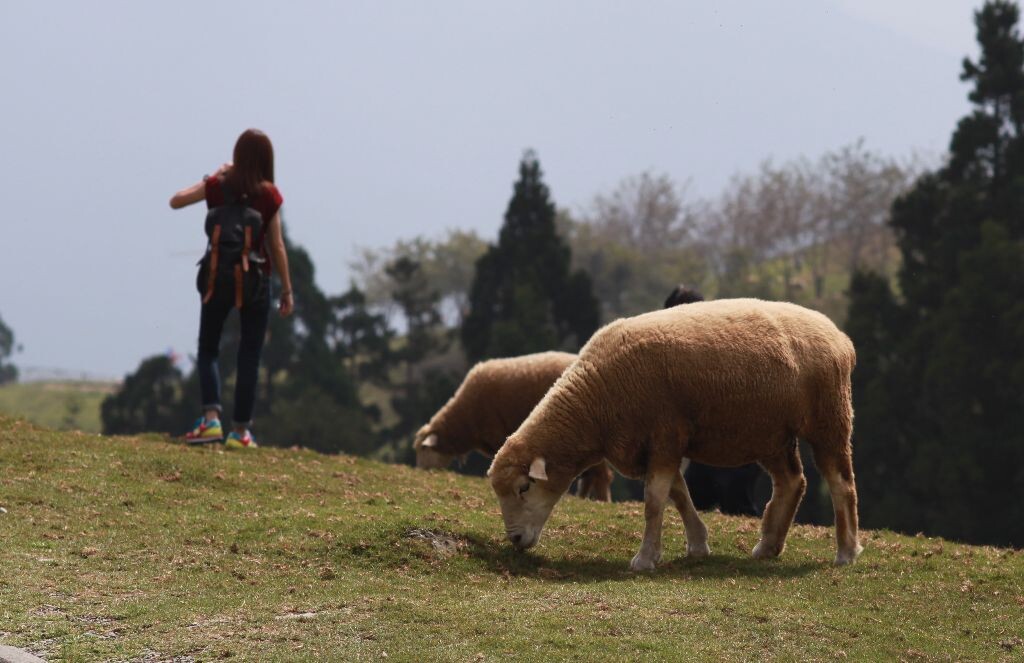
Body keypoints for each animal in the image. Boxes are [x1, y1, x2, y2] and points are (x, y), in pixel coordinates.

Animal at [411, 352, 610, 504]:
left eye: (424, 449)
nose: (420, 471)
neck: (465, 418)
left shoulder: (499, 434)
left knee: (601, 475)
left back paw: (602, 501)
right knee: (590, 475)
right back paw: (583, 497)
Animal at [491, 299, 860, 569]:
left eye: (524, 487)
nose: (515, 540)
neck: (596, 403)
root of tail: (840, 338)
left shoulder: (664, 435)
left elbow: (655, 502)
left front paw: (644, 559)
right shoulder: (656, 445)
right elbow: (679, 495)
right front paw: (697, 544)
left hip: (830, 419)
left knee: (841, 484)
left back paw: (846, 552)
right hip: (771, 433)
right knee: (792, 482)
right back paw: (768, 546)